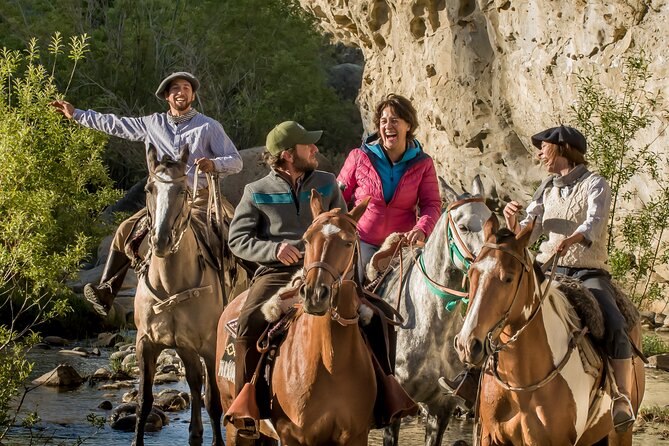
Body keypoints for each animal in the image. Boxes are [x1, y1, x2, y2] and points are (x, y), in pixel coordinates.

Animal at [132, 145, 228, 444]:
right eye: (149, 189)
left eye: (184, 190)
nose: (161, 240)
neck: (171, 287)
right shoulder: (146, 343)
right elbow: (144, 402)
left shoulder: (210, 345)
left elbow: (214, 401)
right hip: (185, 347)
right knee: (194, 384)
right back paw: (194, 432)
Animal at [218, 190, 378, 444]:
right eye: (307, 239)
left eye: (349, 242)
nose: (315, 294)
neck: (329, 362)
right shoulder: (293, 436)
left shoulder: (356, 436)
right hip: (235, 426)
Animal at [452, 215, 644, 442]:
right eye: (471, 272)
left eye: (508, 278)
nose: (466, 345)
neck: (521, 385)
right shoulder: (489, 437)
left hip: (620, 434)